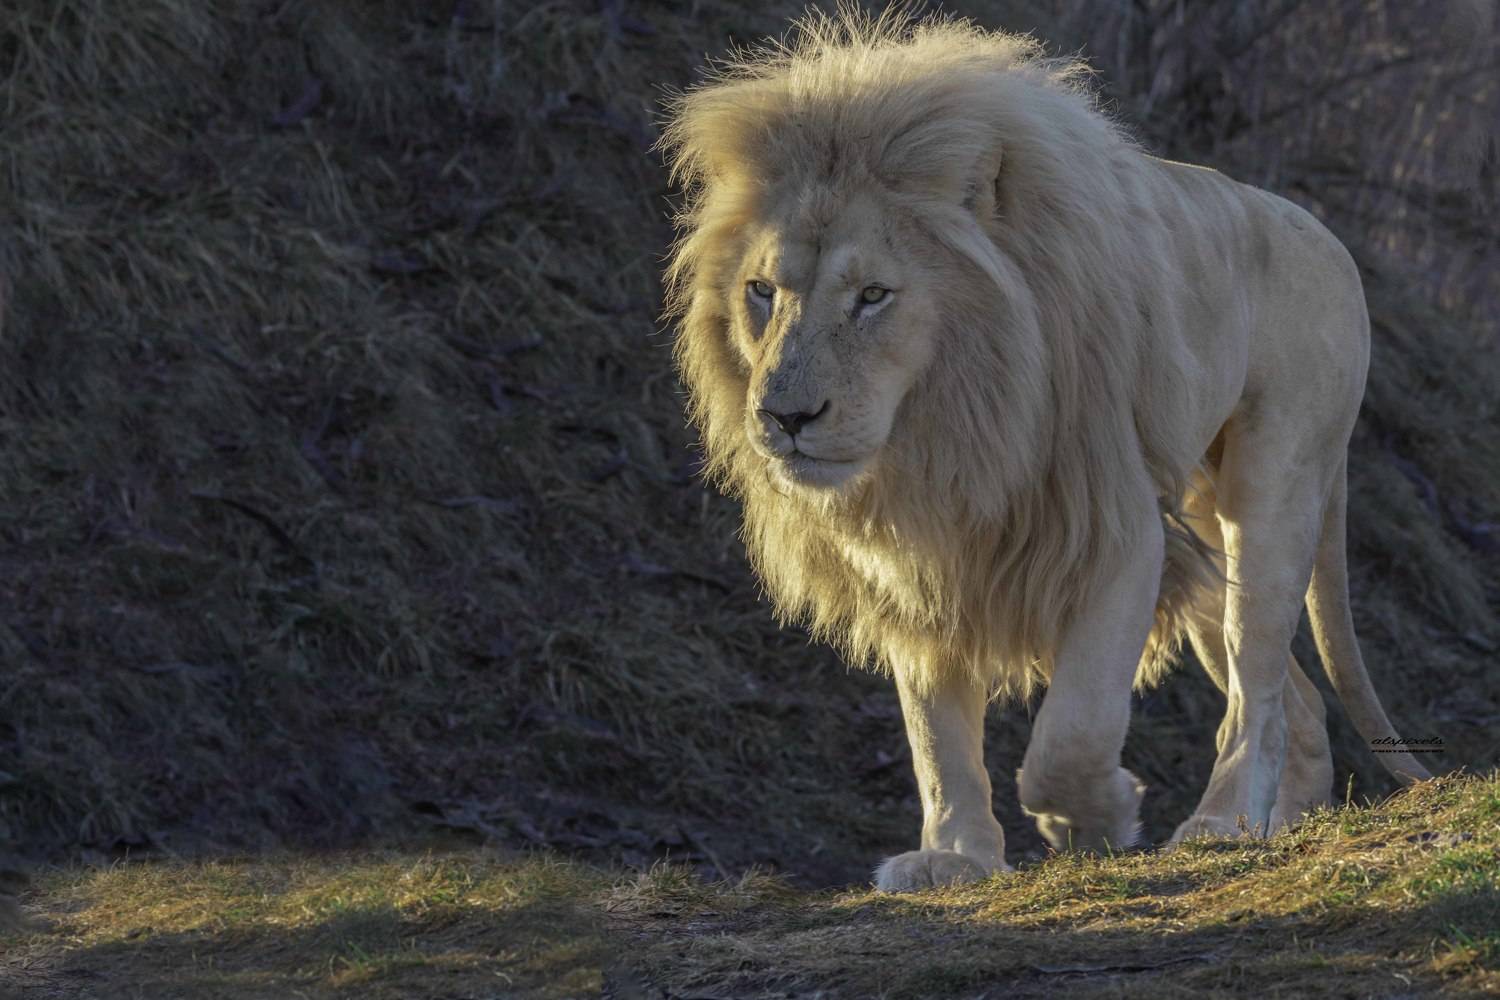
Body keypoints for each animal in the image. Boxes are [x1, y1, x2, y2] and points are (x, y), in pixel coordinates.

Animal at [660, 8, 1431, 891]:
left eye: (873, 296)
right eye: (762, 292)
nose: (786, 416)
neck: (947, 427)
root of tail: (1329, 237)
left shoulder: (1117, 528)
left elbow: (1073, 728)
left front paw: (1093, 816)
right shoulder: (920, 557)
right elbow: (936, 733)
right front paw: (955, 857)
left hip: (1274, 485)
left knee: (1258, 679)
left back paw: (1221, 821)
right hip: (1200, 526)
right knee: (1289, 700)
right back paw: (1279, 821)